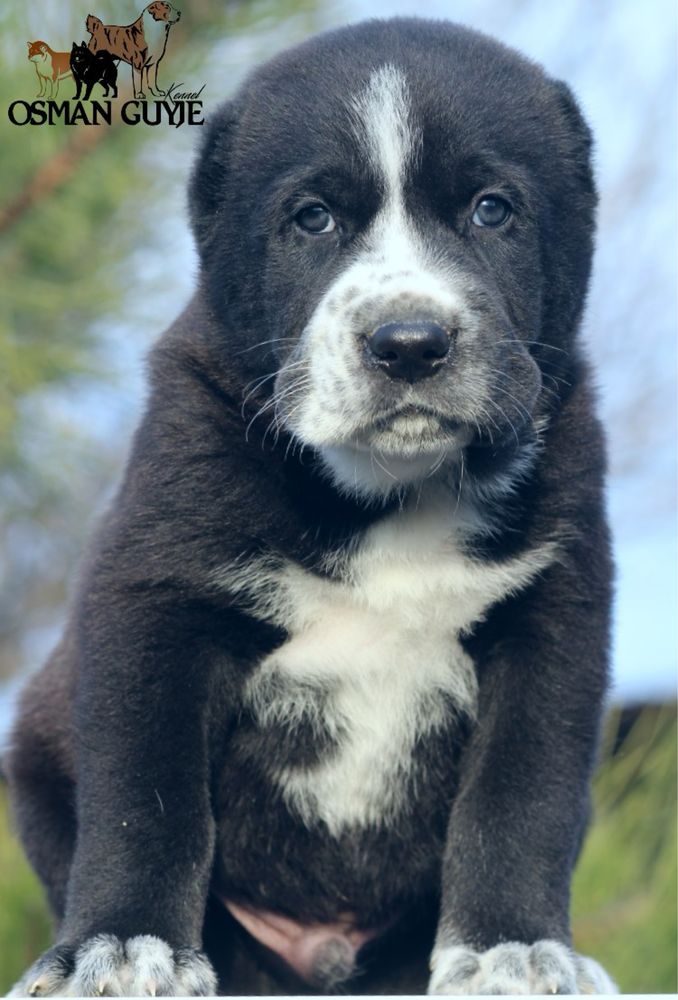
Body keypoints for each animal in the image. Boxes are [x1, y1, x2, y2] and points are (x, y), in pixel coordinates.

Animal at [6, 17, 620, 1000]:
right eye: (313, 218)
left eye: (492, 209)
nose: (409, 343)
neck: (393, 492)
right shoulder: (155, 603)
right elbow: (148, 797)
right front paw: (127, 945)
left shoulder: (552, 622)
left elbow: (520, 798)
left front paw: (513, 950)